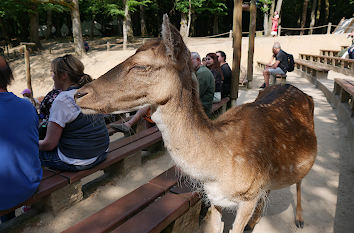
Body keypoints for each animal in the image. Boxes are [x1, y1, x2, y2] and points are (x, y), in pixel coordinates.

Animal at [73, 15, 316, 233]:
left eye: (141, 66)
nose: (78, 94)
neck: (217, 169)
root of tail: (301, 92)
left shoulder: (249, 196)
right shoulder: (216, 198)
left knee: (300, 181)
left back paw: (300, 219)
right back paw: (256, 222)